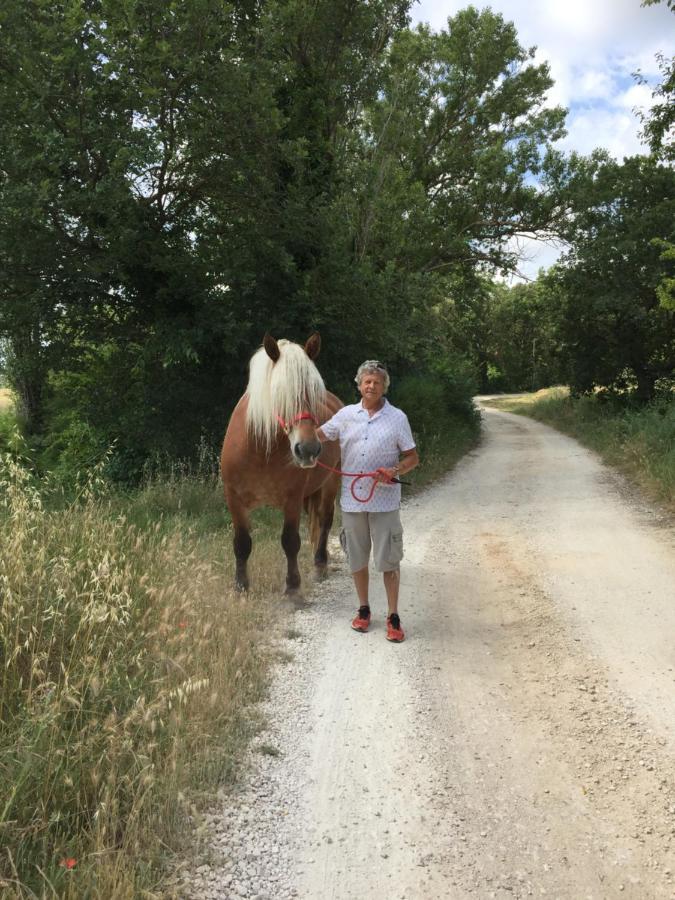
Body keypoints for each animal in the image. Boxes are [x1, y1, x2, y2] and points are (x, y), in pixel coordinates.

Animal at [222, 334, 344, 596]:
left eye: (314, 391)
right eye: (279, 393)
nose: (308, 450)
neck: (260, 451)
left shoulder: (293, 498)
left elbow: (290, 541)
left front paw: (293, 587)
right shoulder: (233, 498)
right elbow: (242, 543)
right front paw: (241, 587)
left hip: (331, 483)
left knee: (325, 519)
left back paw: (320, 564)